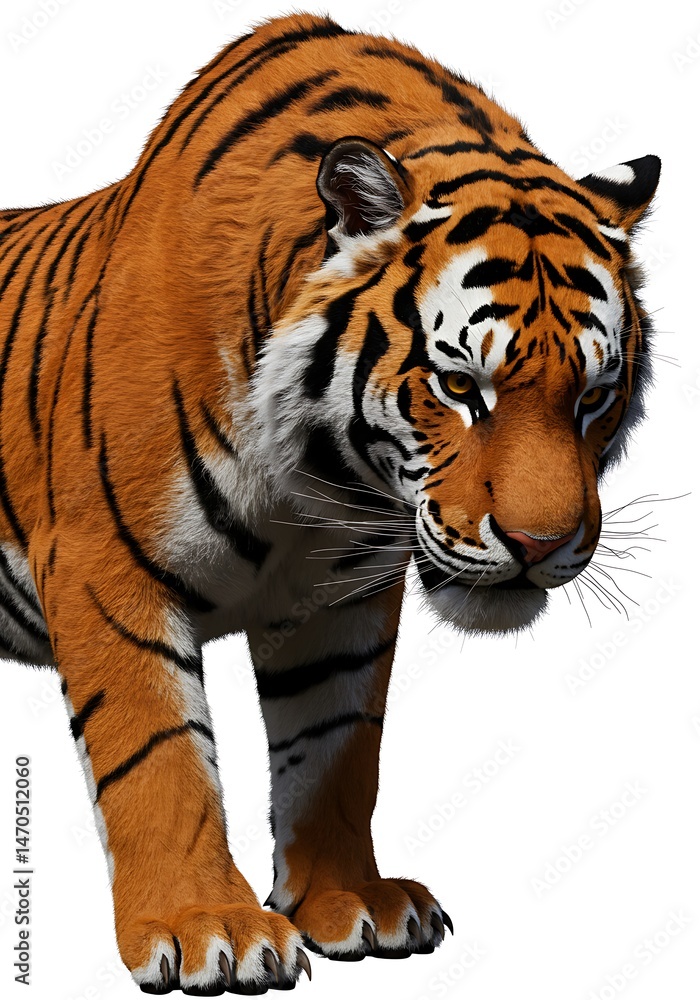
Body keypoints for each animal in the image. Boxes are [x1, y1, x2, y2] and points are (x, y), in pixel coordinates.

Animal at [0, 11, 660, 995]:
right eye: (460, 386)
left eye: (594, 395)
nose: (541, 545)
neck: (322, 482)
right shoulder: (102, 566)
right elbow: (160, 757)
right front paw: (209, 926)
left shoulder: (340, 599)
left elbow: (336, 747)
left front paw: (349, 902)